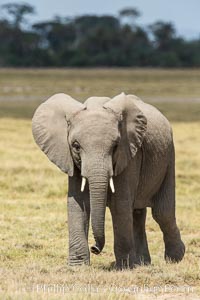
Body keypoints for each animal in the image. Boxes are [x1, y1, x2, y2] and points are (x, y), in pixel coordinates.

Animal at [32, 92, 185, 268]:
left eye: (115, 146)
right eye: (76, 146)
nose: (95, 248)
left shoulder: (129, 155)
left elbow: (120, 204)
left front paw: (124, 267)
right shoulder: (71, 160)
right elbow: (77, 203)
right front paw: (77, 266)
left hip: (169, 157)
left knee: (162, 213)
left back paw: (175, 258)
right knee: (138, 214)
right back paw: (142, 263)